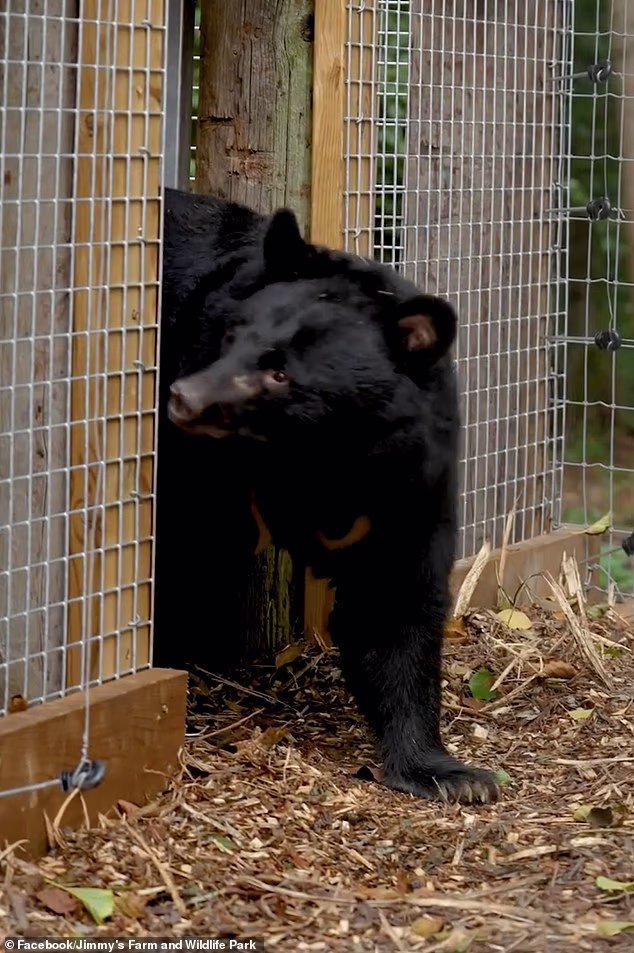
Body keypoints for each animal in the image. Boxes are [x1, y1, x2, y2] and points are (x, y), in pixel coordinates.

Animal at [155, 186, 500, 805]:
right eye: (229, 337)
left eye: (280, 374)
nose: (184, 399)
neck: (318, 457)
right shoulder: (202, 467)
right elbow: (181, 548)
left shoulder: (406, 482)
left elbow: (394, 602)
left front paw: (449, 774)